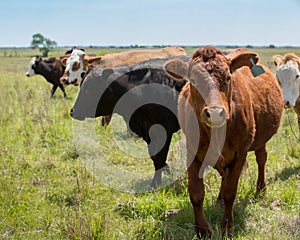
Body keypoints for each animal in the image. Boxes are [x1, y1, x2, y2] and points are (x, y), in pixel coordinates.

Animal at [69, 56, 189, 188]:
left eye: (90, 88)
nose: (73, 111)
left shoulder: (164, 130)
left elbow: (159, 157)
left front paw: (155, 183)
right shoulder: (147, 131)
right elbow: (154, 156)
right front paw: (167, 171)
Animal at [164, 45, 284, 238]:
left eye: (228, 77)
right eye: (193, 81)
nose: (214, 113)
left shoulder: (240, 153)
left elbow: (230, 191)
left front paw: (227, 227)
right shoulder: (192, 151)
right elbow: (196, 192)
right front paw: (202, 229)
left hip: (260, 141)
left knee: (261, 159)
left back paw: (260, 190)